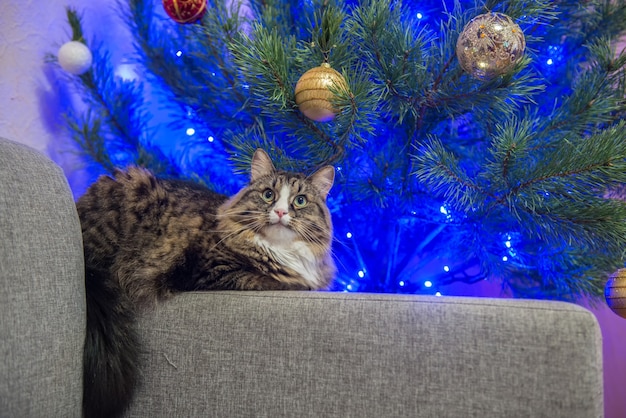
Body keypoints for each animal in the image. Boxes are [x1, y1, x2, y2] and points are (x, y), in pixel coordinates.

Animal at [78, 150, 336, 418]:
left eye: (300, 201)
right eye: (268, 195)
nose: (281, 213)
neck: (278, 250)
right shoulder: (214, 270)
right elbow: (273, 281)